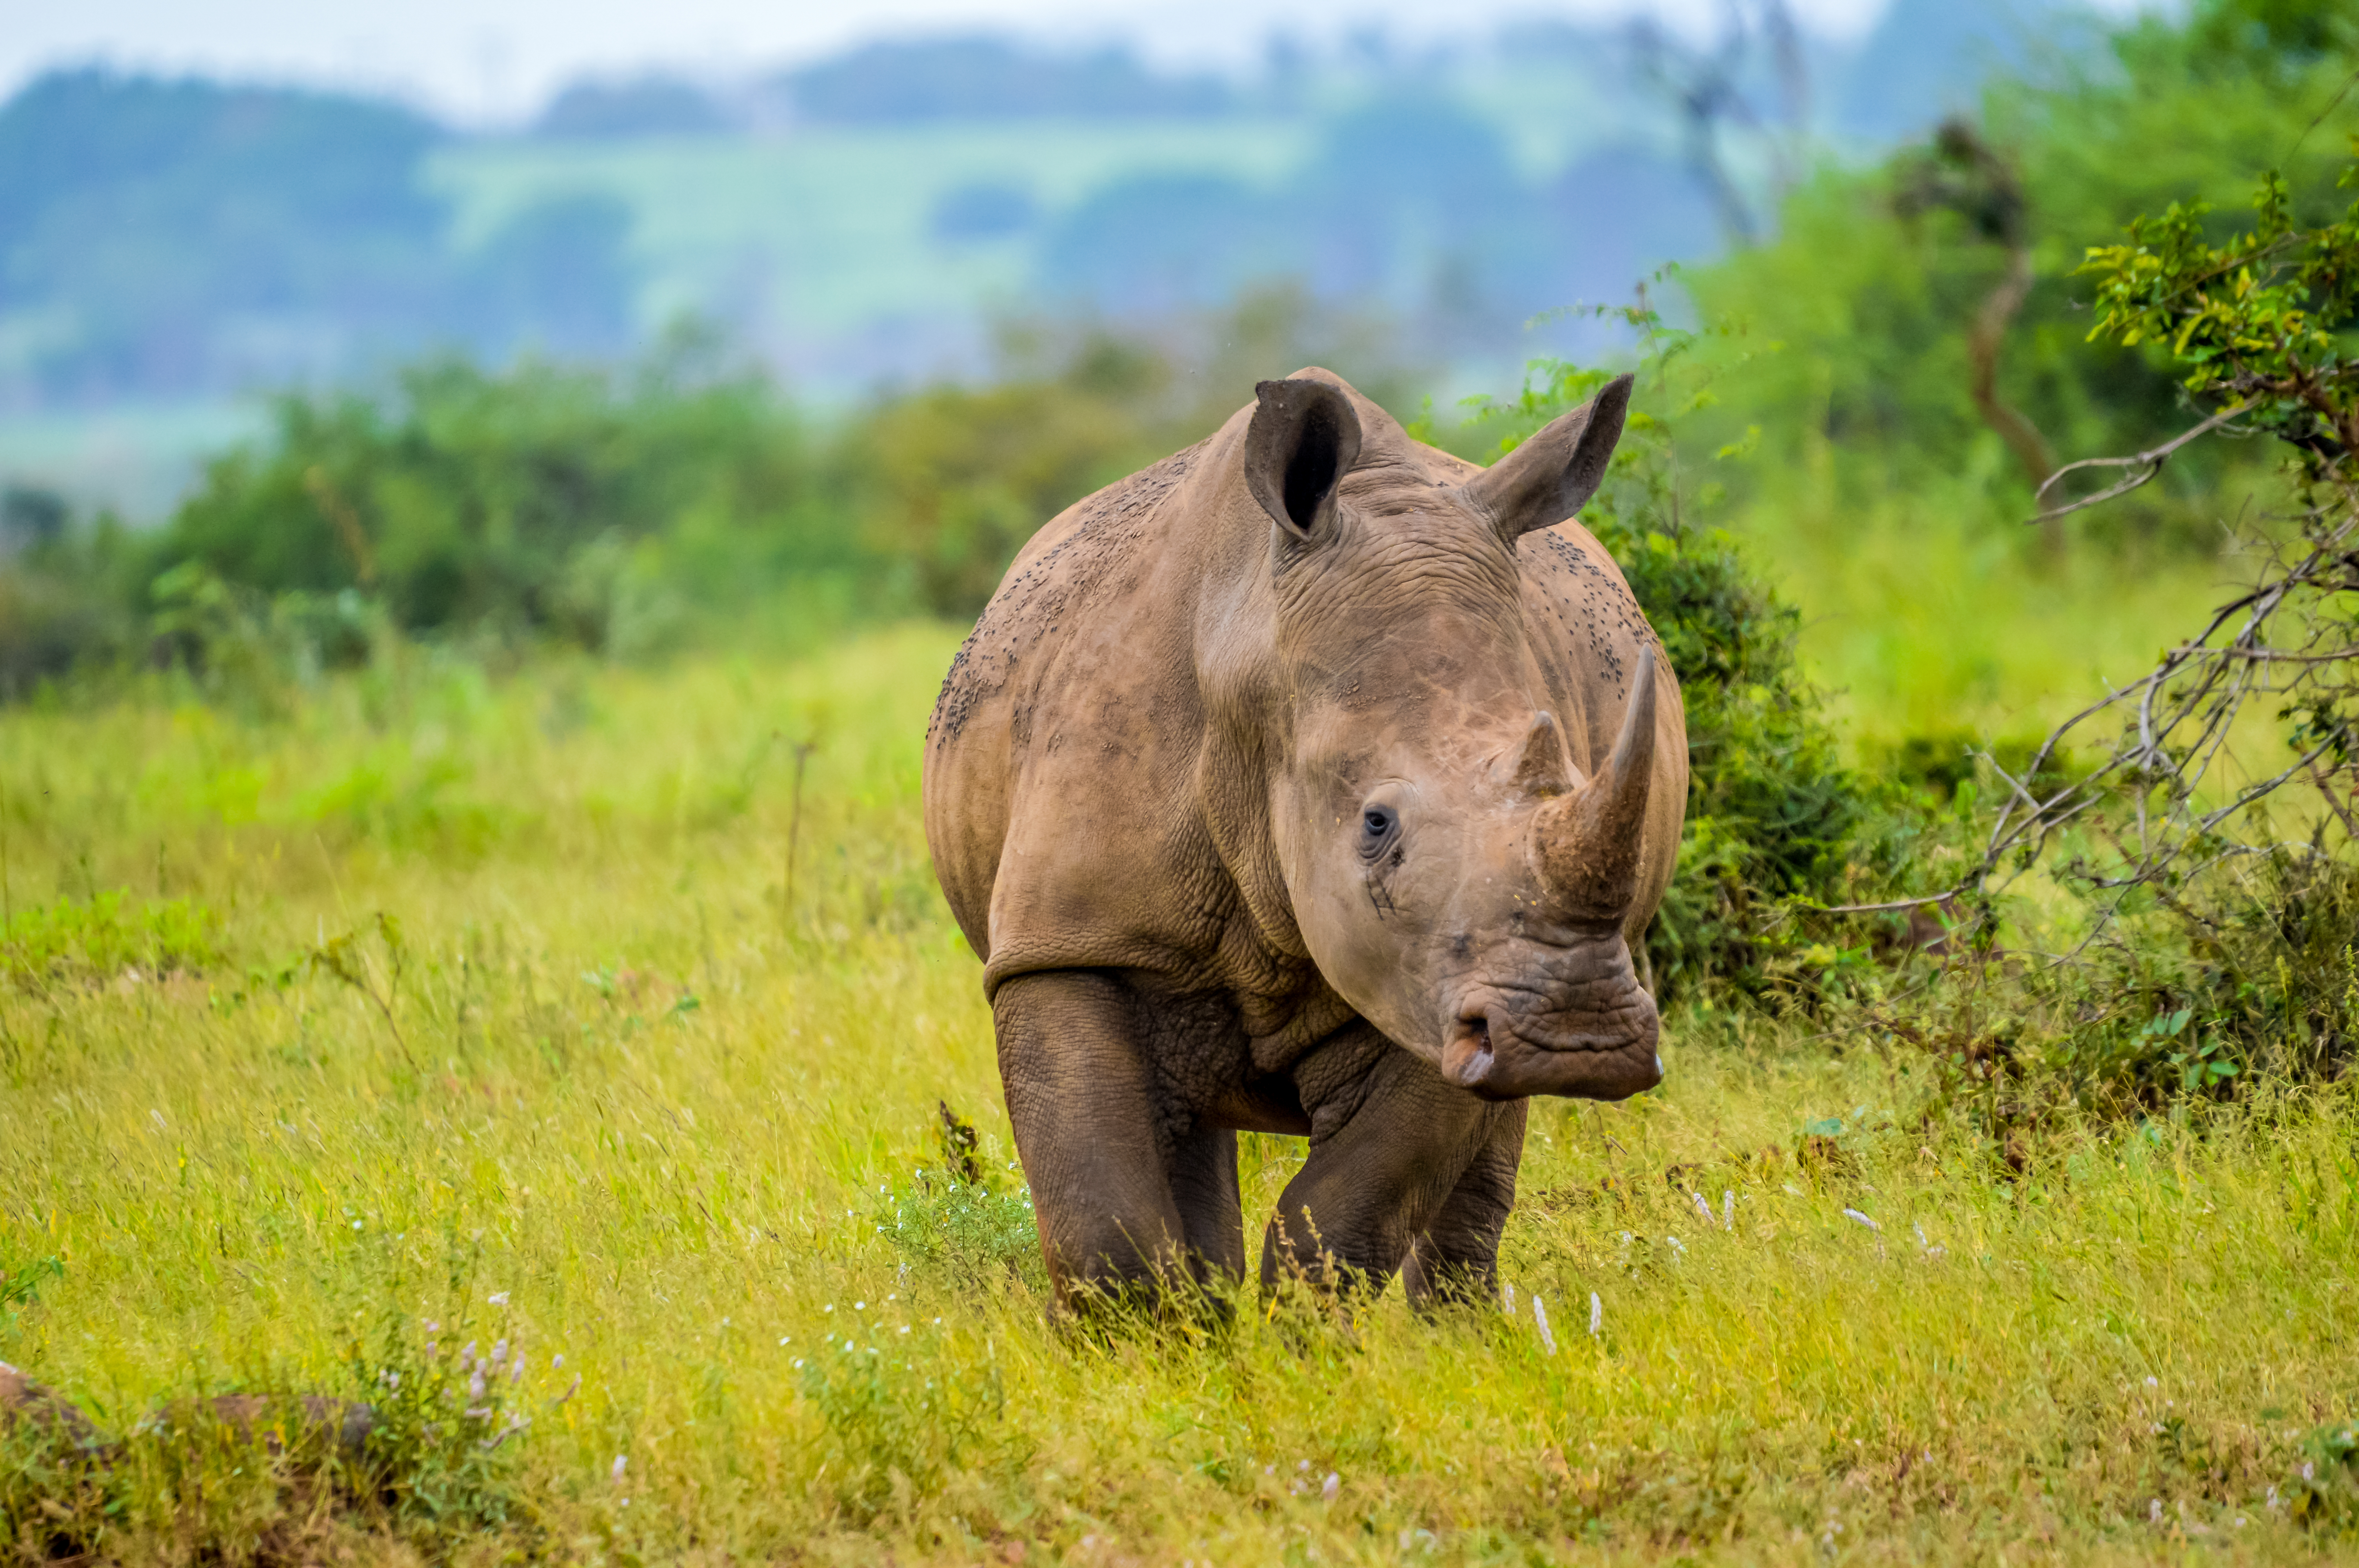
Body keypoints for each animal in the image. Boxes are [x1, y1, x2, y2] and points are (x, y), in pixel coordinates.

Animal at [923, 368, 1688, 1310]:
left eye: (1571, 780)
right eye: (1376, 824)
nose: (1579, 1036)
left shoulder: (1433, 980)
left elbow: (1343, 1213)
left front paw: (1303, 1340)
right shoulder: (1067, 939)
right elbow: (1104, 1222)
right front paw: (1142, 1345)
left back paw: (1459, 1334)